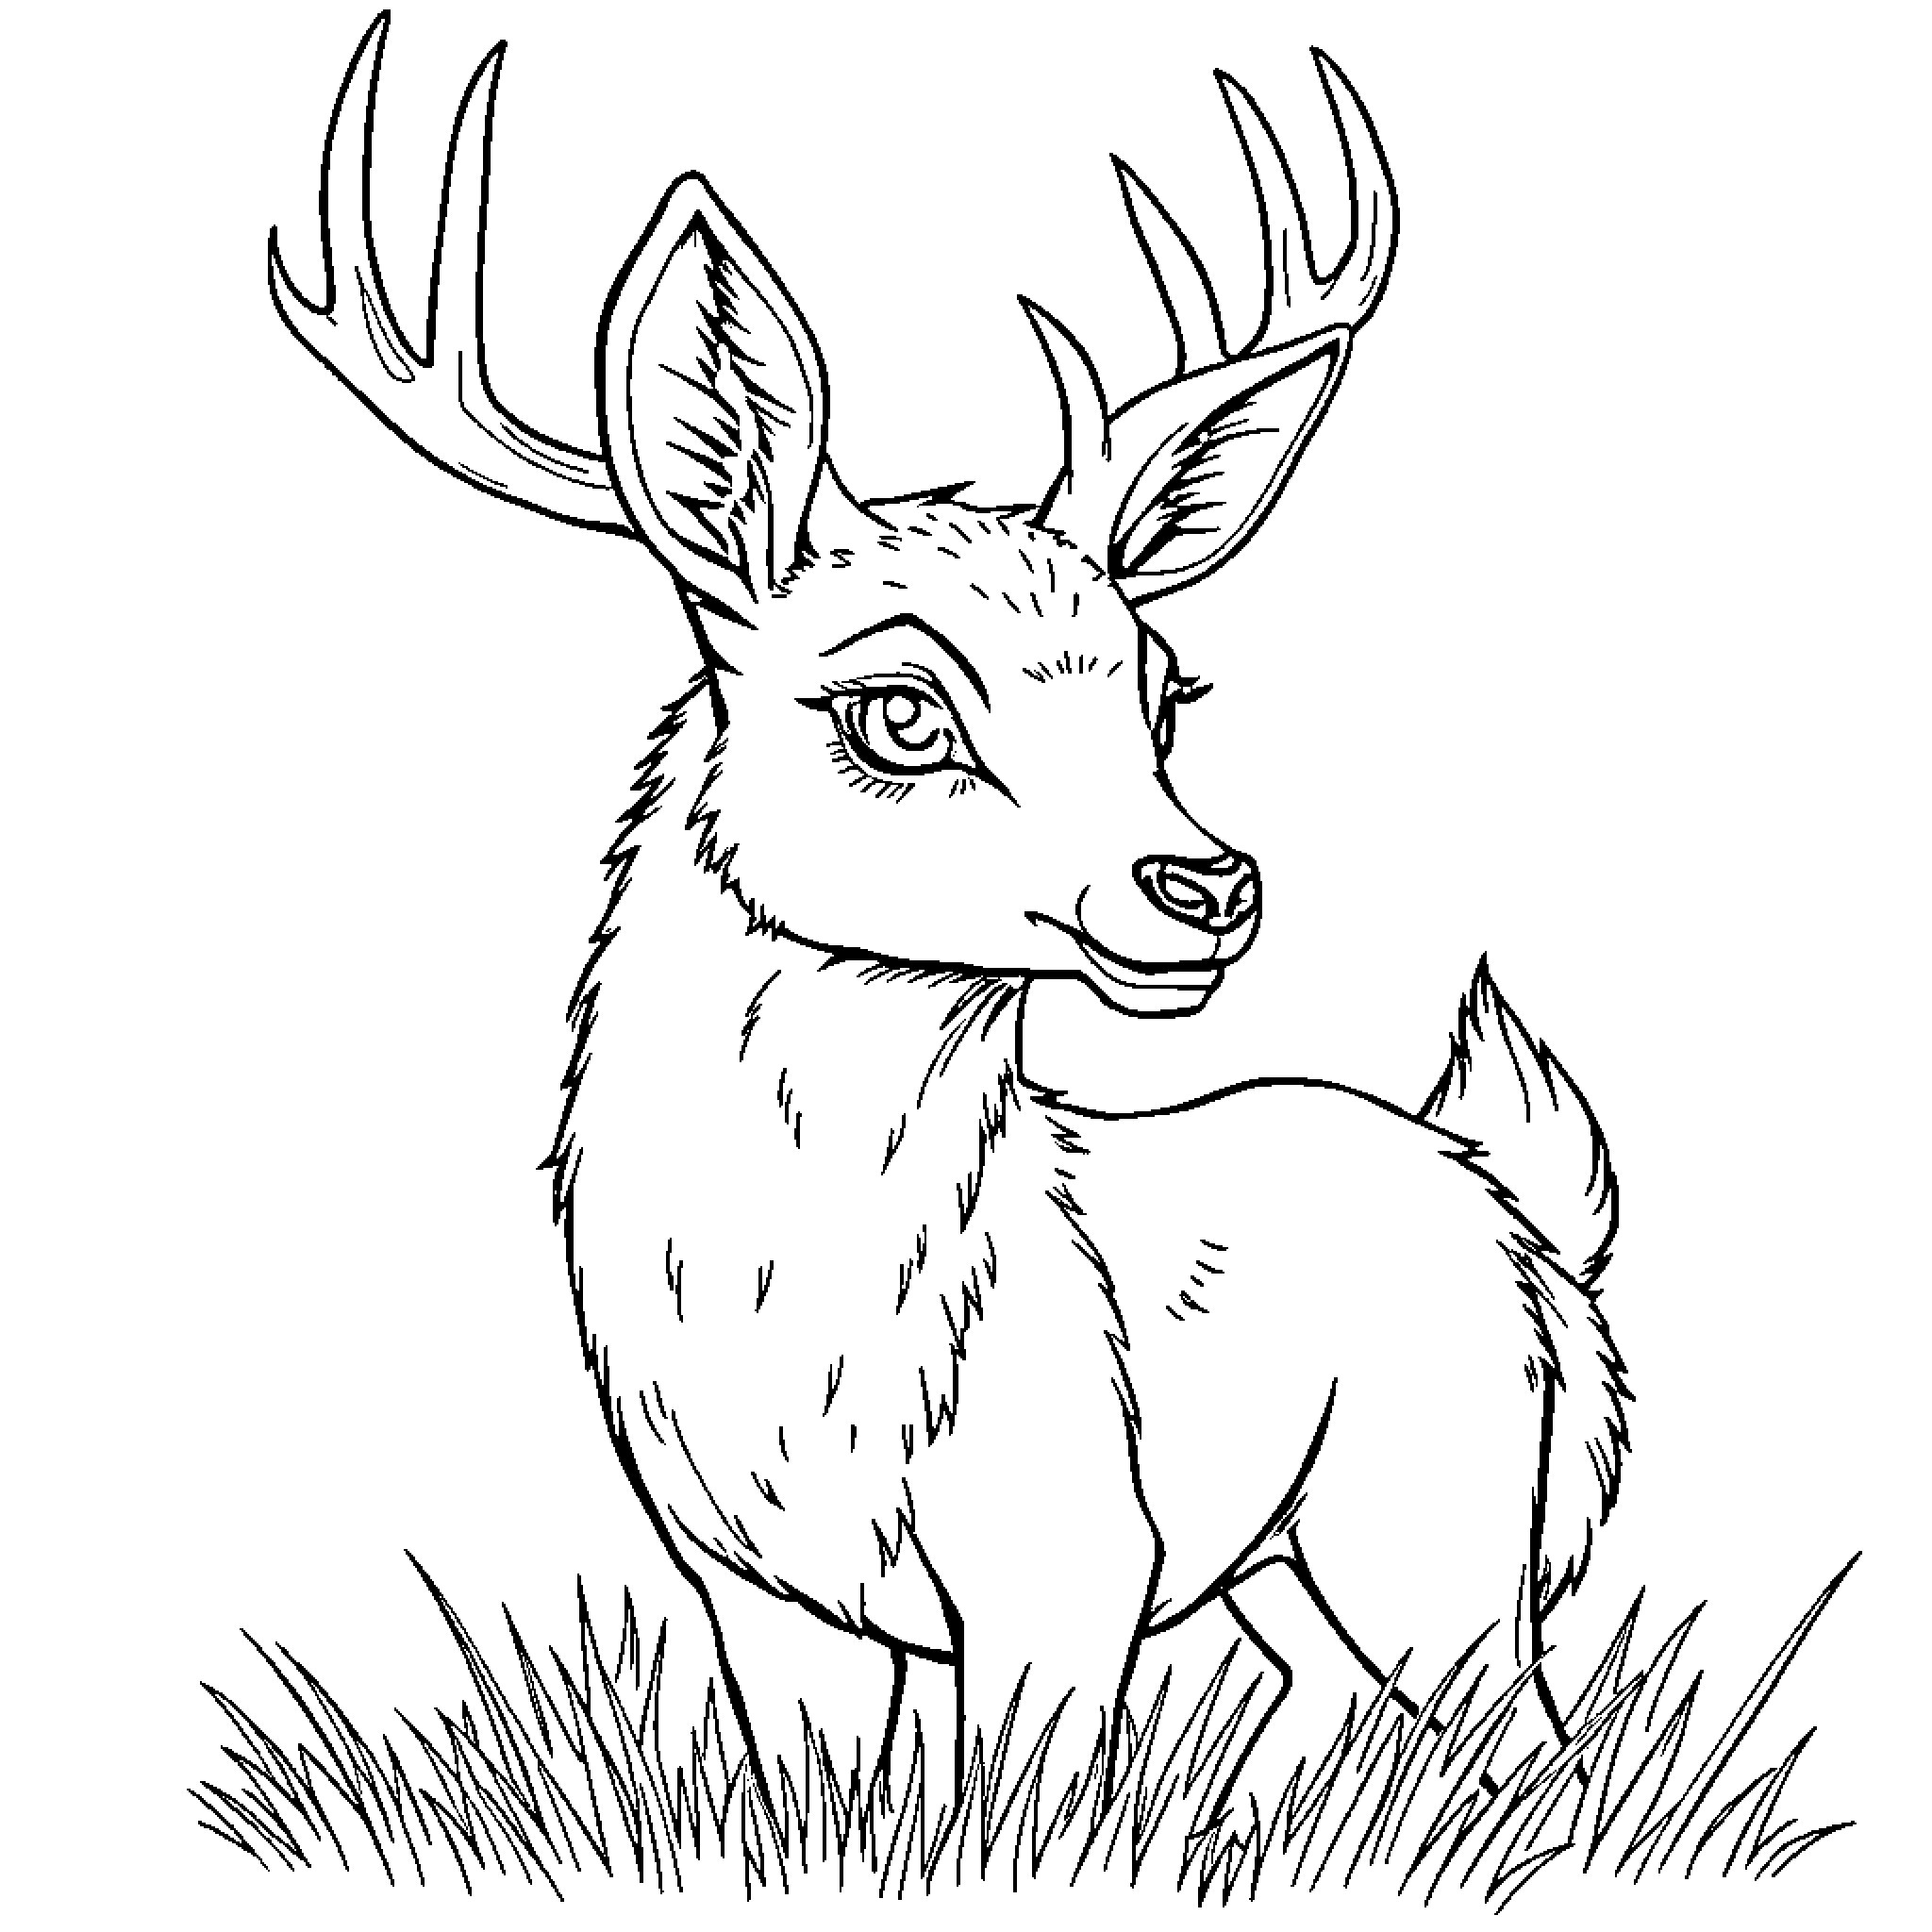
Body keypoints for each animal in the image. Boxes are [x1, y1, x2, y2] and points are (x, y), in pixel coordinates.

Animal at [271, 15, 1631, 1830]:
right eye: (900, 709)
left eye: (1164, 691)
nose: (1206, 885)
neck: (819, 1364)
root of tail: (1525, 1216)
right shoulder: (750, 1587)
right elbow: (813, 1803)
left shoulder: (1074, 1558)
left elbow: (1027, 1812)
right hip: (1293, 1560)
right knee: (1352, 1713)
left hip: (1438, 1514)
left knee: (1522, 1742)